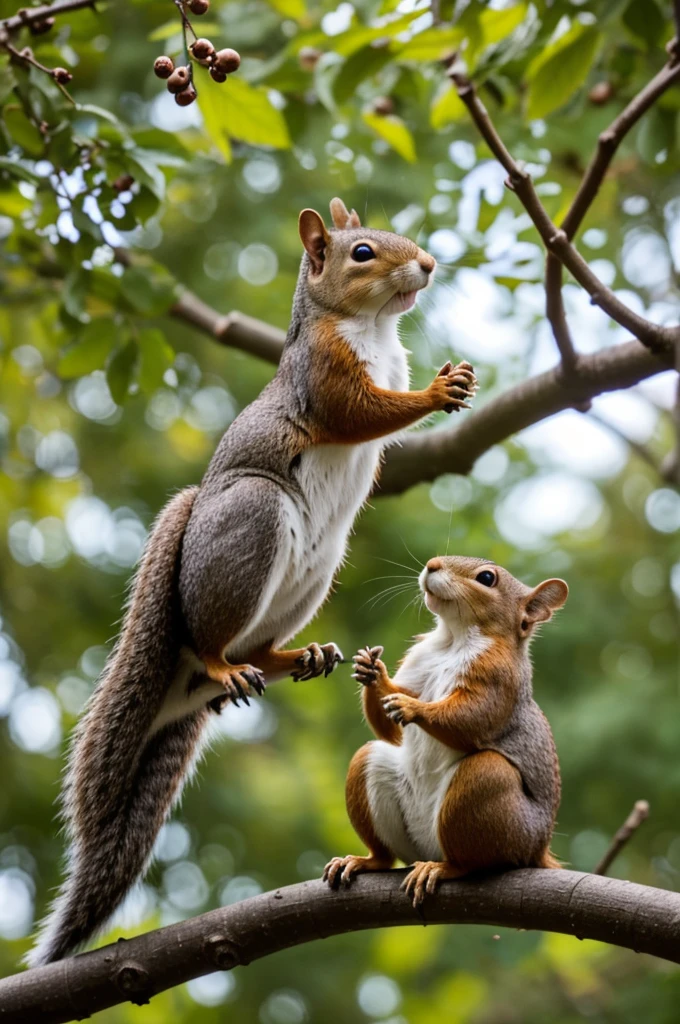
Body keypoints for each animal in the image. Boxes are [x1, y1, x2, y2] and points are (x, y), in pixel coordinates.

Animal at [29, 199, 477, 966]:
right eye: (362, 252)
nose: (426, 264)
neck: (371, 327)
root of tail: (182, 677)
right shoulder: (321, 375)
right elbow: (360, 413)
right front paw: (435, 391)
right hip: (252, 523)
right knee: (216, 639)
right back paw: (223, 661)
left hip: (316, 573)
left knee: (259, 646)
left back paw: (298, 656)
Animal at [323, 552, 569, 905]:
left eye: (487, 578)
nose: (432, 564)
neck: (453, 640)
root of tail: (538, 849)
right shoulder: (418, 666)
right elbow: (389, 731)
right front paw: (372, 670)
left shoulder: (499, 680)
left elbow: (471, 718)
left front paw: (412, 707)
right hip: (371, 770)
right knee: (385, 855)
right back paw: (363, 861)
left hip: (488, 791)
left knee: (471, 861)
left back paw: (443, 869)